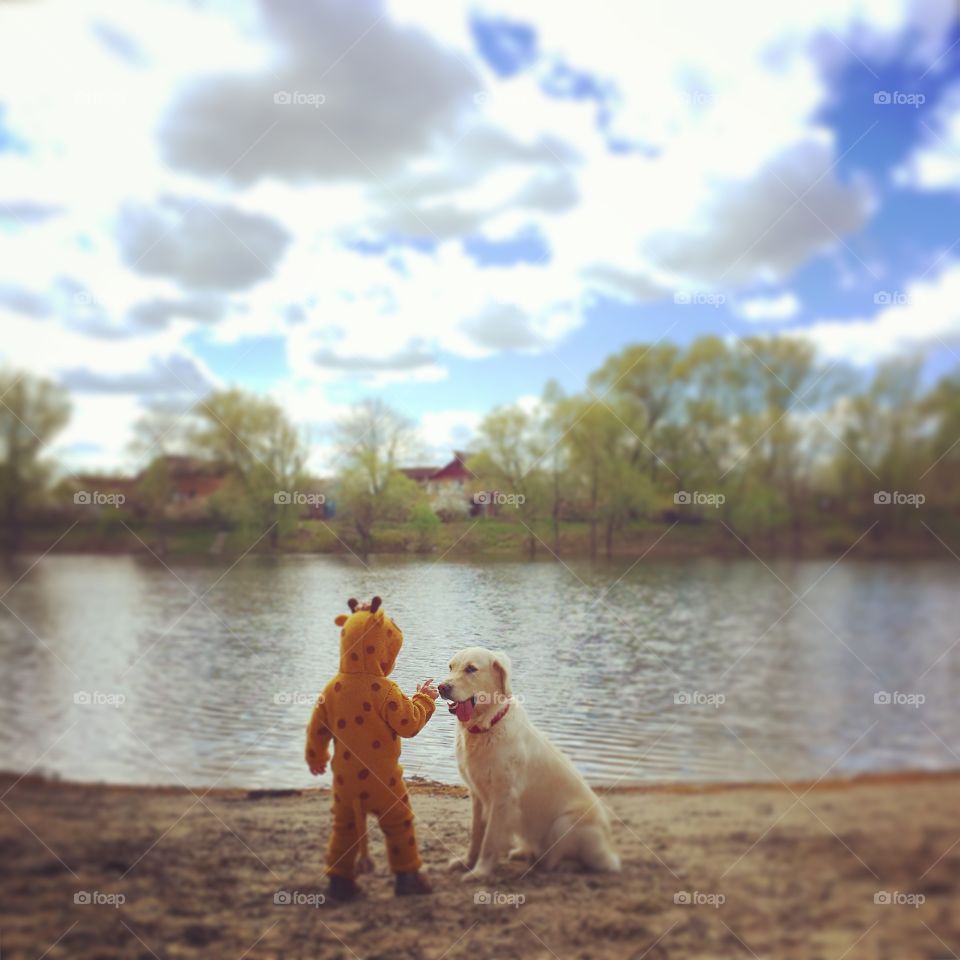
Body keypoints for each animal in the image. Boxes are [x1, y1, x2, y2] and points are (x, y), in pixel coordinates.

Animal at [436, 648, 620, 880]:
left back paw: (553, 865)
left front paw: (480, 872)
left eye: (471, 669)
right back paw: (524, 853)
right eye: (451, 667)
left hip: (565, 823)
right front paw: (466, 862)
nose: (441, 687)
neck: (487, 725)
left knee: (570, 861)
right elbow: (476, 836)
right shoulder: (477, 795)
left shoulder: (503, 797)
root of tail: (609, 852)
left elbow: (489, 841)